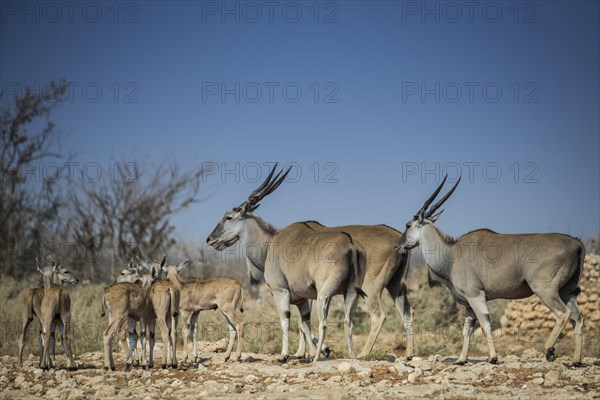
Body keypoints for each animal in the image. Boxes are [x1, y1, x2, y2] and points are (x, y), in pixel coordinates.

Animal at [206, 164, 368, 364]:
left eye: (229, 217)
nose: (210, 239)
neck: (270, 242)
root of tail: (351, 244)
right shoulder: (302, 300)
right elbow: (304, 324)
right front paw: (307, 353)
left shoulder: (280, 292)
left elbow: (286, 320)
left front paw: (284, 355)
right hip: (351, 292)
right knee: (348, 321)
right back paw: (351, 356)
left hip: (325, 294)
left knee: (323, 323)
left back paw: (316, 357)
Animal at [398, 175, 584, 366]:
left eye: (408, 225)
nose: (399, 246)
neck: (452, 254)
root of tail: (576, 243)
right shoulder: (469, 304)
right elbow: (467, 330)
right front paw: (461, 359)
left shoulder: (476, 296)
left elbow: (485, 323)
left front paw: (493, 357)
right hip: (567, 292)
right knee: (577, 317)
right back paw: (575, 361)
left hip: (545, 290)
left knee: (563, 313)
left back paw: (549, 350)